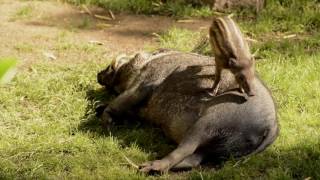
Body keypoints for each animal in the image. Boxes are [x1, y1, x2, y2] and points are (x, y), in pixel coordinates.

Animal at [97, 51, 278, 173]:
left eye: (114, 64)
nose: (98, 73)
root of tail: (273, 125)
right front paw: (99, 108)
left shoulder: (146, 81)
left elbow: (122, 100)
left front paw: (106, 122)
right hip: (218, 145)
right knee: (194, 160)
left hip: (210, 120)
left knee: (186, 148)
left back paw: (147, 166)